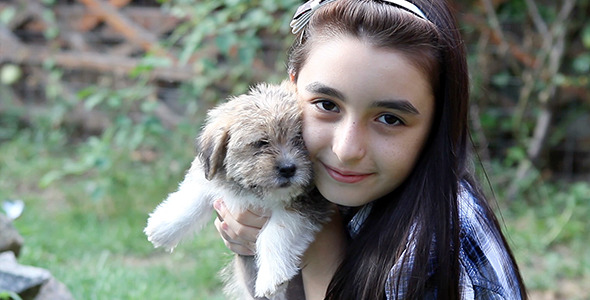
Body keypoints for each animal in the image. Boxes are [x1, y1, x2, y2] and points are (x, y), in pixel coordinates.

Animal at [145, 81, 332, 298]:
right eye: (261, 143)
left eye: (299, 139)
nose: (288, 168)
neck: (253, 192)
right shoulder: (210, 177)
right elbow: (192, 199)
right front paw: (163, 228)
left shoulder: (308, 204)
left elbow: (274, 232)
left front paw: (271, 277)